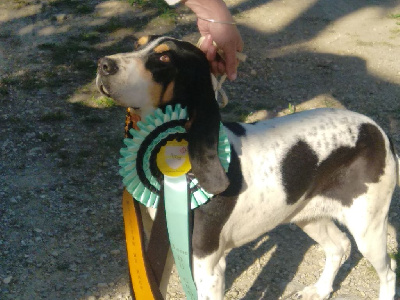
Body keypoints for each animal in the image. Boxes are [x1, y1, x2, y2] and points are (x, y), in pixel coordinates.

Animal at [96, 35, 396, 300]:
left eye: (164, 57)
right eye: (136, 44)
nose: (103, 64)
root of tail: (378, 130)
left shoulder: (209, 267)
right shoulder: (166, 250)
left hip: (367, 228)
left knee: (388, 272)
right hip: (308, 215)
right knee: (339, 246)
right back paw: (320, 291)